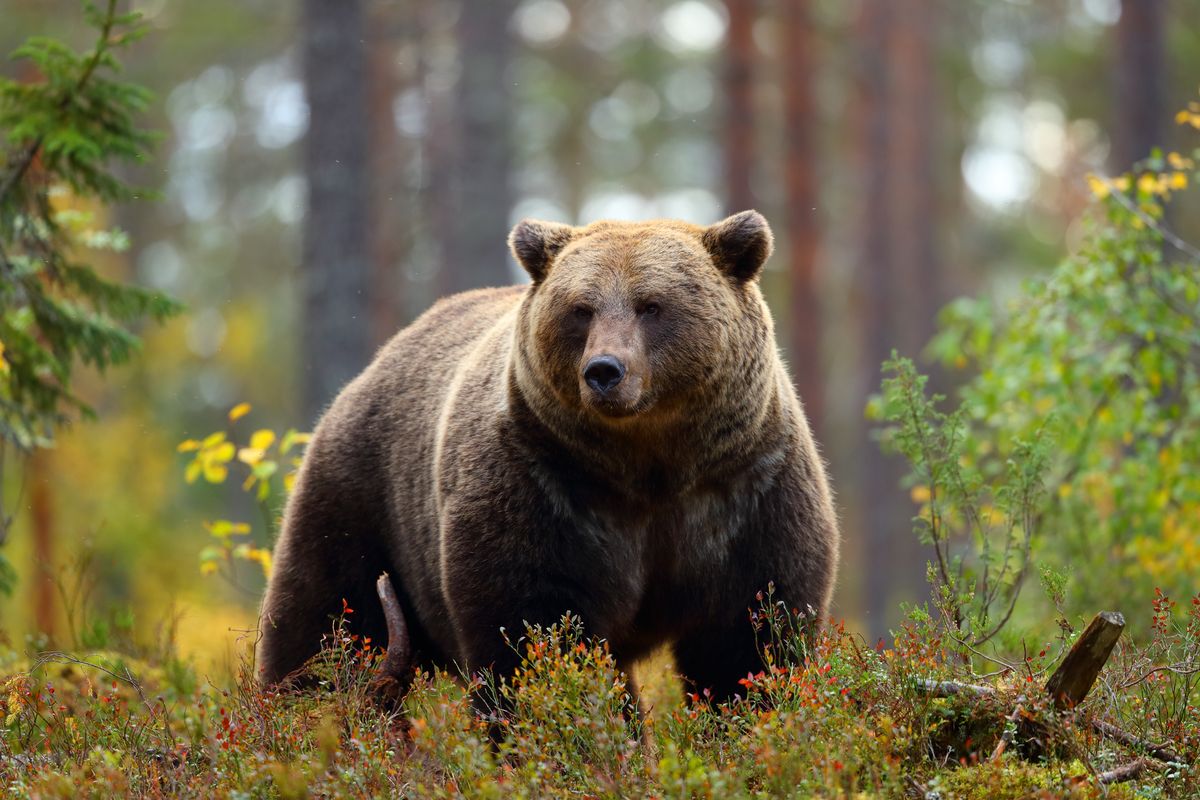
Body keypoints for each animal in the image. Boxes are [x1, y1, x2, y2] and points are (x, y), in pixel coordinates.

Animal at [258, 211, 840, 700]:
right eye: (581, 309)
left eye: (652, 305)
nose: (604, 370)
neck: (651, 466)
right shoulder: (543, 486)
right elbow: (533, 632)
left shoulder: (746, 489)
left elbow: (750, 639)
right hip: (362, 500)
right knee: (323, 621)